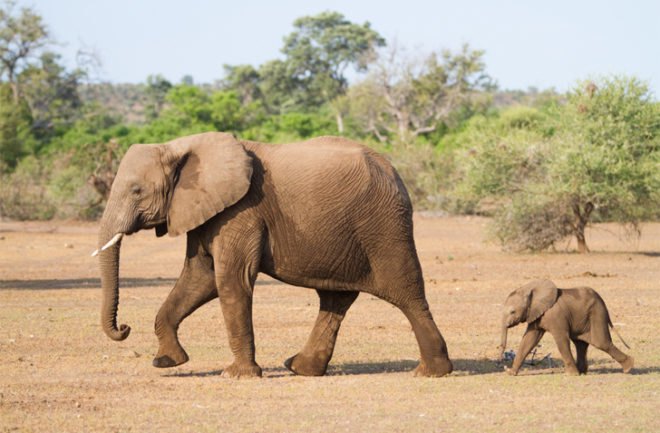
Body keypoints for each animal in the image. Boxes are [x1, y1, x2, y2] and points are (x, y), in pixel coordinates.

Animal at [93, 131, 453, 378]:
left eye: (136, 191)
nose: (124, 328)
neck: (180, 146)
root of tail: (395, 172)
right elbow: (200, 278)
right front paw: (167, 362)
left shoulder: (241, 211)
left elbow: (231, 281)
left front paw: (237, 375)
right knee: (335, 299)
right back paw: (300, 368)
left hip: (384, 226)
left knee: (407, 293)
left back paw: (431, 372)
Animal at [498, 279, 633, 376]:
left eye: (512, 312)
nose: (503, 364)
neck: (529, 289)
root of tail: (604, 303)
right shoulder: (536, 314)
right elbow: (529, 339)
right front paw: (511, 373)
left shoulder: (556, 315)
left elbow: (561, 339)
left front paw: (571, 375)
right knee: (581, 343)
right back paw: (582, 372)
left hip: (597, 314)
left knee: (600, 342)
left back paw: (628, 368)